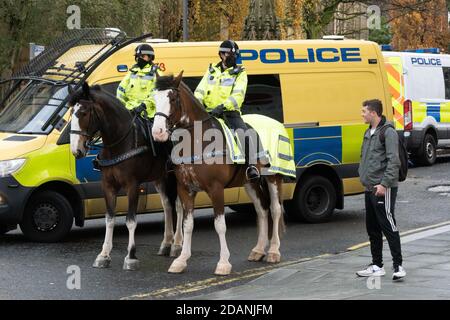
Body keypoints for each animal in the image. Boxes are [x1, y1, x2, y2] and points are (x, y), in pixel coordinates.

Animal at [68, 83, 183, 270]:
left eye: (83, 113)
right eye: (72, 112)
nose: (76, 150)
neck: (119, 143)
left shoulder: (132, 186)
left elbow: (131, 220)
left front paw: (131, 256)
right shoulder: (107, 186)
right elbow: (109, 219)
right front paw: (103, 255)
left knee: (179, 207)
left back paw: (178, 244)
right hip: (160, 178)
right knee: (167, 206)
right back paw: (166, 243)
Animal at [151, 72, 284, 276]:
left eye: (172, 98)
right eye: (154, 98)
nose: (157, 132)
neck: (198, 140)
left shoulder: (216, 189)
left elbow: (220, 225)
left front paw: (223, 263)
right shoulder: (185, 189)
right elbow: (188, 225)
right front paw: (181, 260)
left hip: (273, 177)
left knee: (275, 209)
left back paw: (274, 252)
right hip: (250, 182)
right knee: (262, 210)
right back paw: (258, 250)